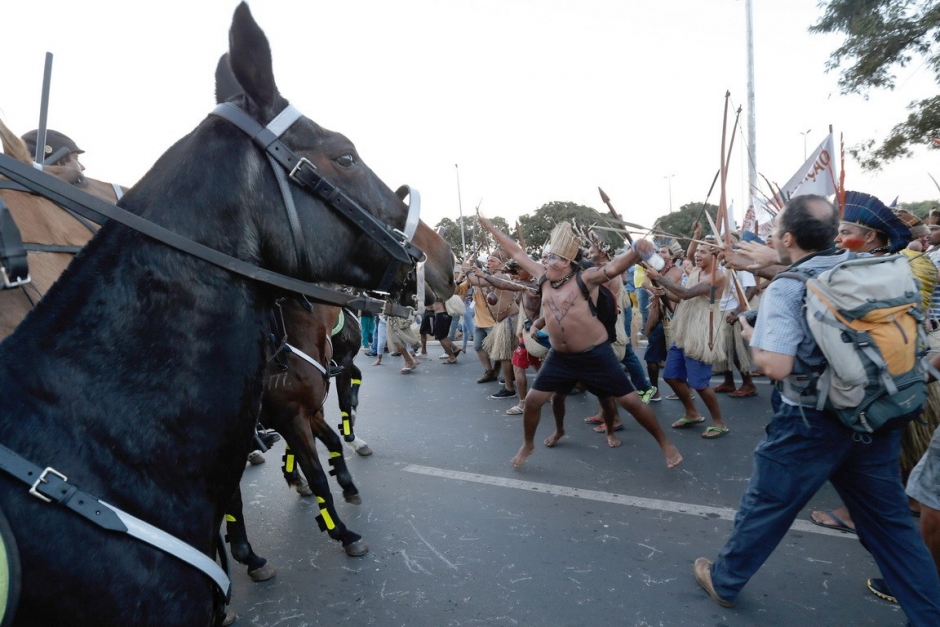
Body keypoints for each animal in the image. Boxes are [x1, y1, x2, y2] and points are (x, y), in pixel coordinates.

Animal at [0, 2, 452, 624]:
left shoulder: (299, 411)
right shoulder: (287, 414)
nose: (442, 257)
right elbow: (313, 466)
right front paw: (338, 527)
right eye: (345, 155)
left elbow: (327, 448)